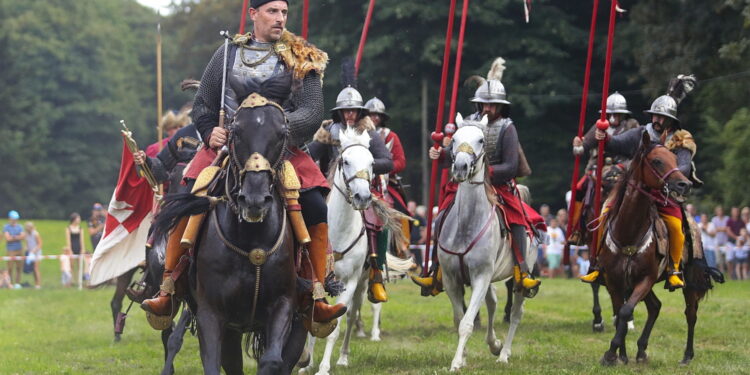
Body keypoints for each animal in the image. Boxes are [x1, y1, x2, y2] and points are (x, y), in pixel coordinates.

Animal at [300, 127, 414, 375]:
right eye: (345, 161)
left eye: (372, 162)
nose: (363, 197)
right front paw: (307, 363)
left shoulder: (350, 281)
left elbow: (336, 327)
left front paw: (323, 367)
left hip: (362, 282)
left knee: (353, 316)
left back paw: (343, 357)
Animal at [440, 113, 540, 372]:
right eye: (454, 139)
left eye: (481, 140)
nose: (461, 167)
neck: (466, 226)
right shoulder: (452, 279)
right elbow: (459, 319)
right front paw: (463, 357)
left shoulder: (482, 275)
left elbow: (466, 323)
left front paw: (456, 362)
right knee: (493, 304)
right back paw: (494, 344)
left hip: (519, 277)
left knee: (515, 314)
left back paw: (503, 353)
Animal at [600, 131, 724, 366]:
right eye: (657, 161)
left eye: (675, 160)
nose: (685, 184)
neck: (629, 232)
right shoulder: (614, 281)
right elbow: (620, 313)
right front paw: (620, 355)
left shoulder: (646, 279)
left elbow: (626, 311)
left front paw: (610, 353)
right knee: (654, 307)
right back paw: (640, 351)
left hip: (689, 283)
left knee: (690, 314)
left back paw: (687, 356)